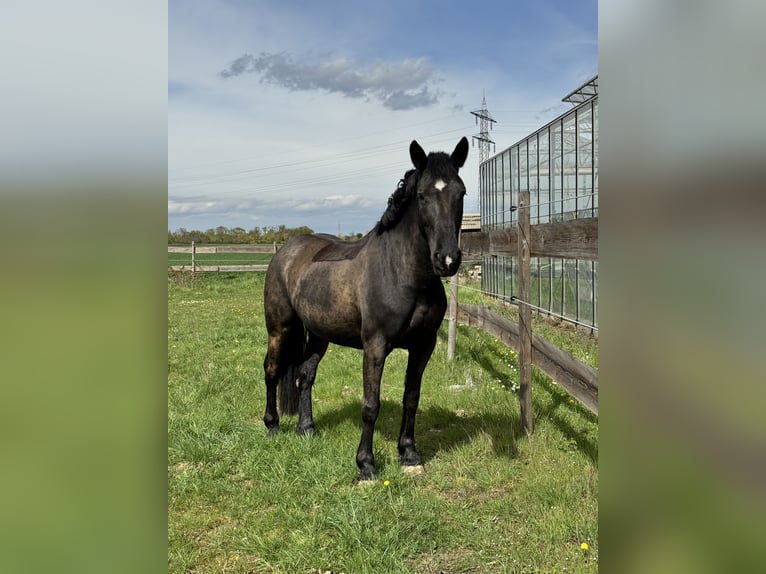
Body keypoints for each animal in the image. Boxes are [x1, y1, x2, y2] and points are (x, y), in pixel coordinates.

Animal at [262, 137, 469, 481]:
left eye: (461, 192)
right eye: (422, 195)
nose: (447, 260)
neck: (405, 275)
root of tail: (286, 251)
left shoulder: (423, 345)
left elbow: (411, 398)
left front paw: (409, 454)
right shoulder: (375, 346)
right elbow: (371, 405)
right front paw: (366, 466)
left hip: (319, 333)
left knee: (305, 374)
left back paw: (307, 428)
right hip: (280, 328)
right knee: (271, 370)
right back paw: (272, 426)